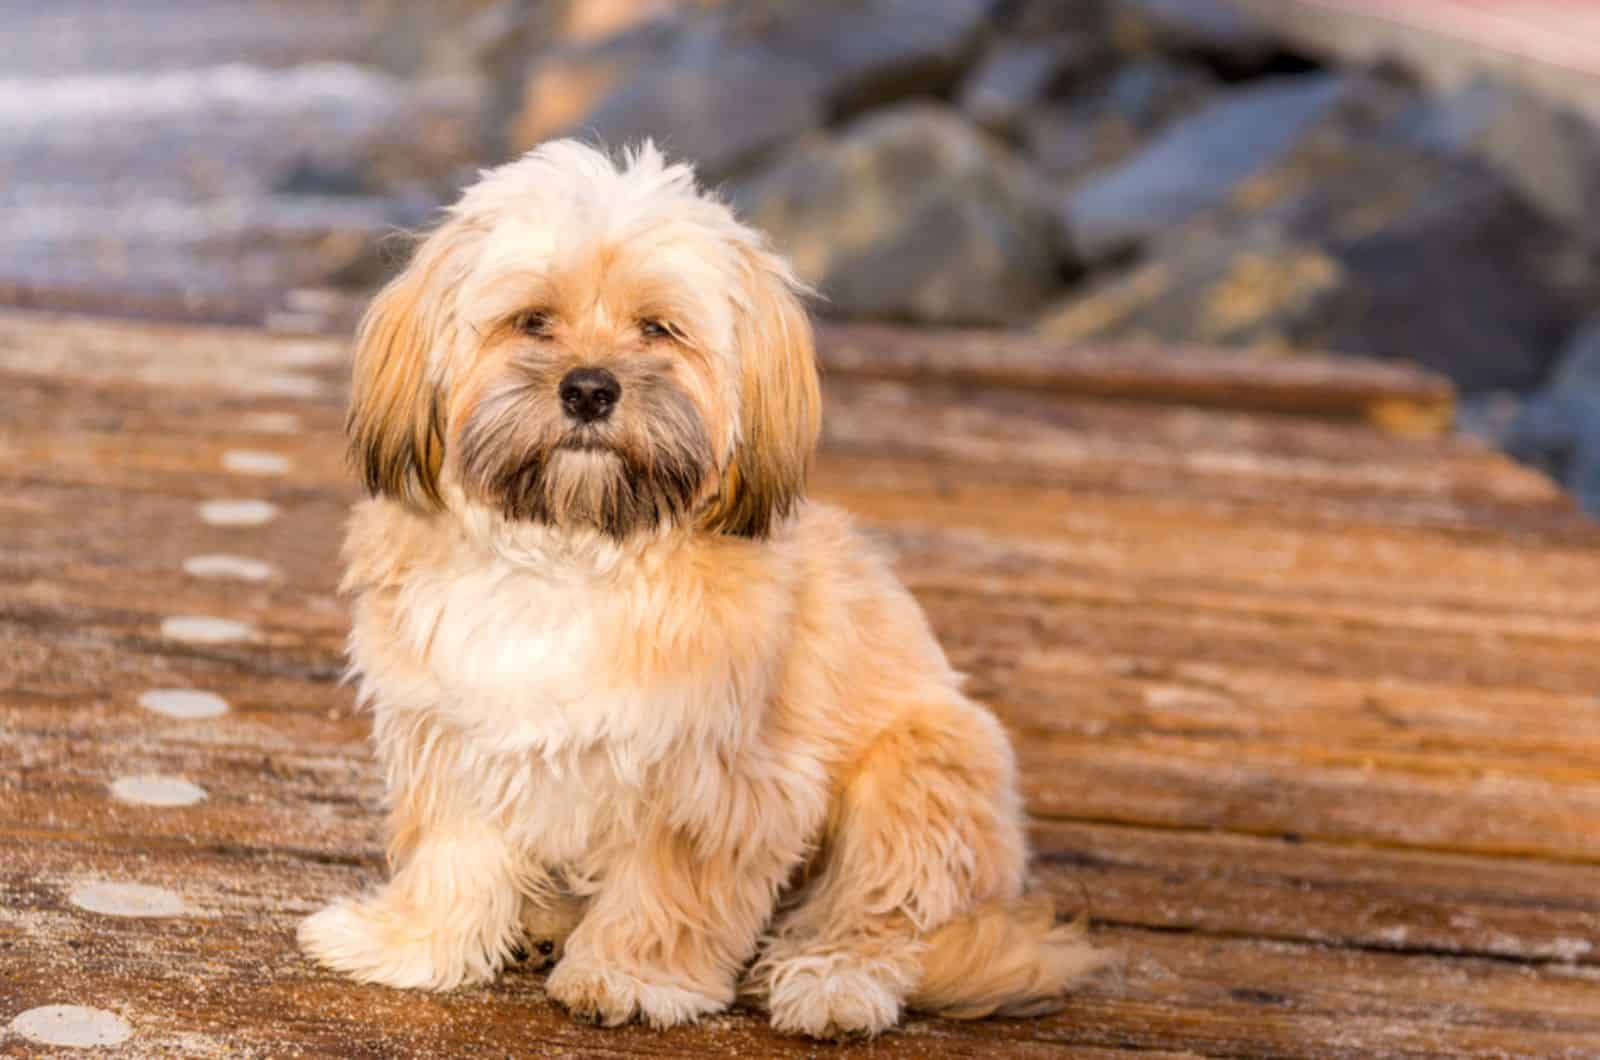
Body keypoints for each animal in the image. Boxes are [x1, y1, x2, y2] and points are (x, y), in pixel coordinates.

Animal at [297, 139, 1100, 1037]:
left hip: (923, 770)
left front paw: (632, 975)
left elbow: (670, 884)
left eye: (659, 328)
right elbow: (454, 852)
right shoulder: (455, 731)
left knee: (890, 914)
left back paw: (832, 979)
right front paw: (411, 941)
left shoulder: (712, 776)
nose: (589, 388)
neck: (574, 550)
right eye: (533, 320)